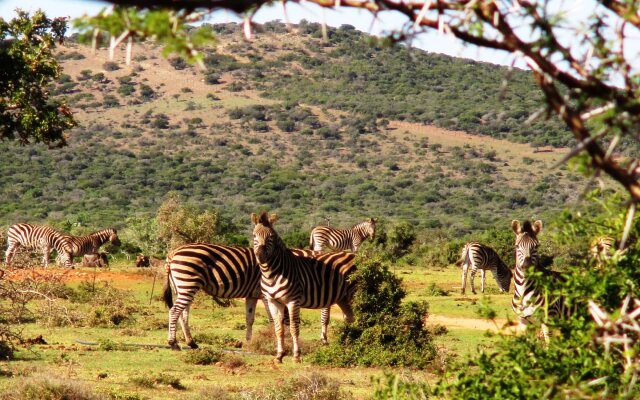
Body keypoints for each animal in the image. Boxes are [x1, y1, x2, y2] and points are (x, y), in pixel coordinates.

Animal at [252, 212, 358, 362]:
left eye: (271, 236)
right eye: (254, 235)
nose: (261, 257)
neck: (271, 273)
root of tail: (353, 255)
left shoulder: (293, 301)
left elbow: (293, 327)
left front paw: (296, 355)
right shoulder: (273, 301)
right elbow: (278, 329)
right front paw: (279, 355)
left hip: (354, 293)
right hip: (343, 298)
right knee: (350, 318)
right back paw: (348, 343)